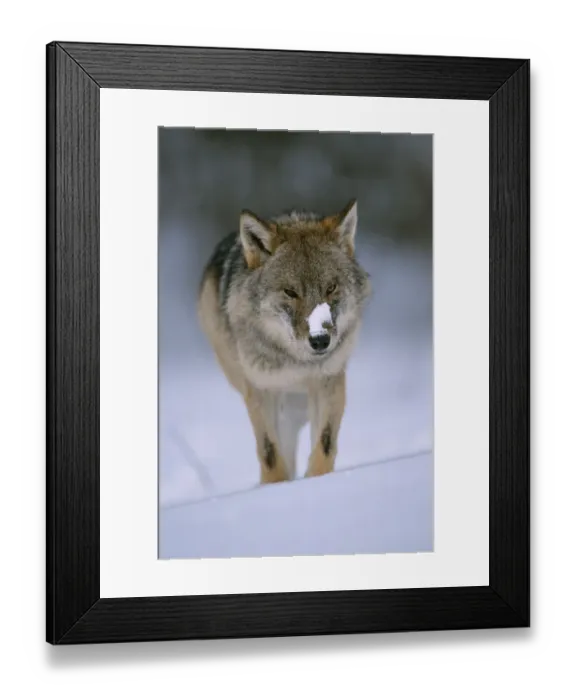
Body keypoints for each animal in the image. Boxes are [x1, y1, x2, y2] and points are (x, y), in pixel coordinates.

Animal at [197, 199, 371, 485]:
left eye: (331, 288)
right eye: (290, 292)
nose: (320, 340)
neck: (296, 361)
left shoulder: (329, 381)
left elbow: (325, 443)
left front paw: (317, 481)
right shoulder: (259, 390)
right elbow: (269, 452)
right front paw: (276, 488)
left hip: (298, 405)